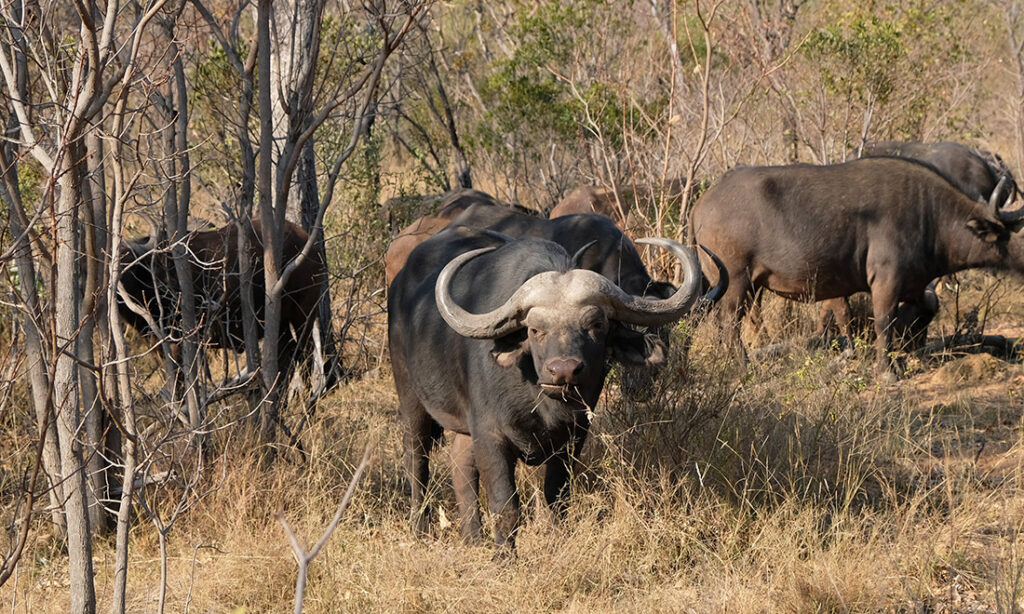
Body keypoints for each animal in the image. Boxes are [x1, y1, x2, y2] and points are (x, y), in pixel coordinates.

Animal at [116, 215, 325, 378]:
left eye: (128, 263)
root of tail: (308, 242)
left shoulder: (179, 344)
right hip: (281, 325)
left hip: (303, 316)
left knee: (305, 358)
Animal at [688, 155, 1024, 372]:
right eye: (1010, 234)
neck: (931, 215)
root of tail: (702, 203)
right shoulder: (886, 280)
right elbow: (884, 322)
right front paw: (886, 370)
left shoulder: (913, 285)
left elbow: (917, 309)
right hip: (736, 281)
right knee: (729, 323)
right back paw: (742, 366)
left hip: (742, 285)